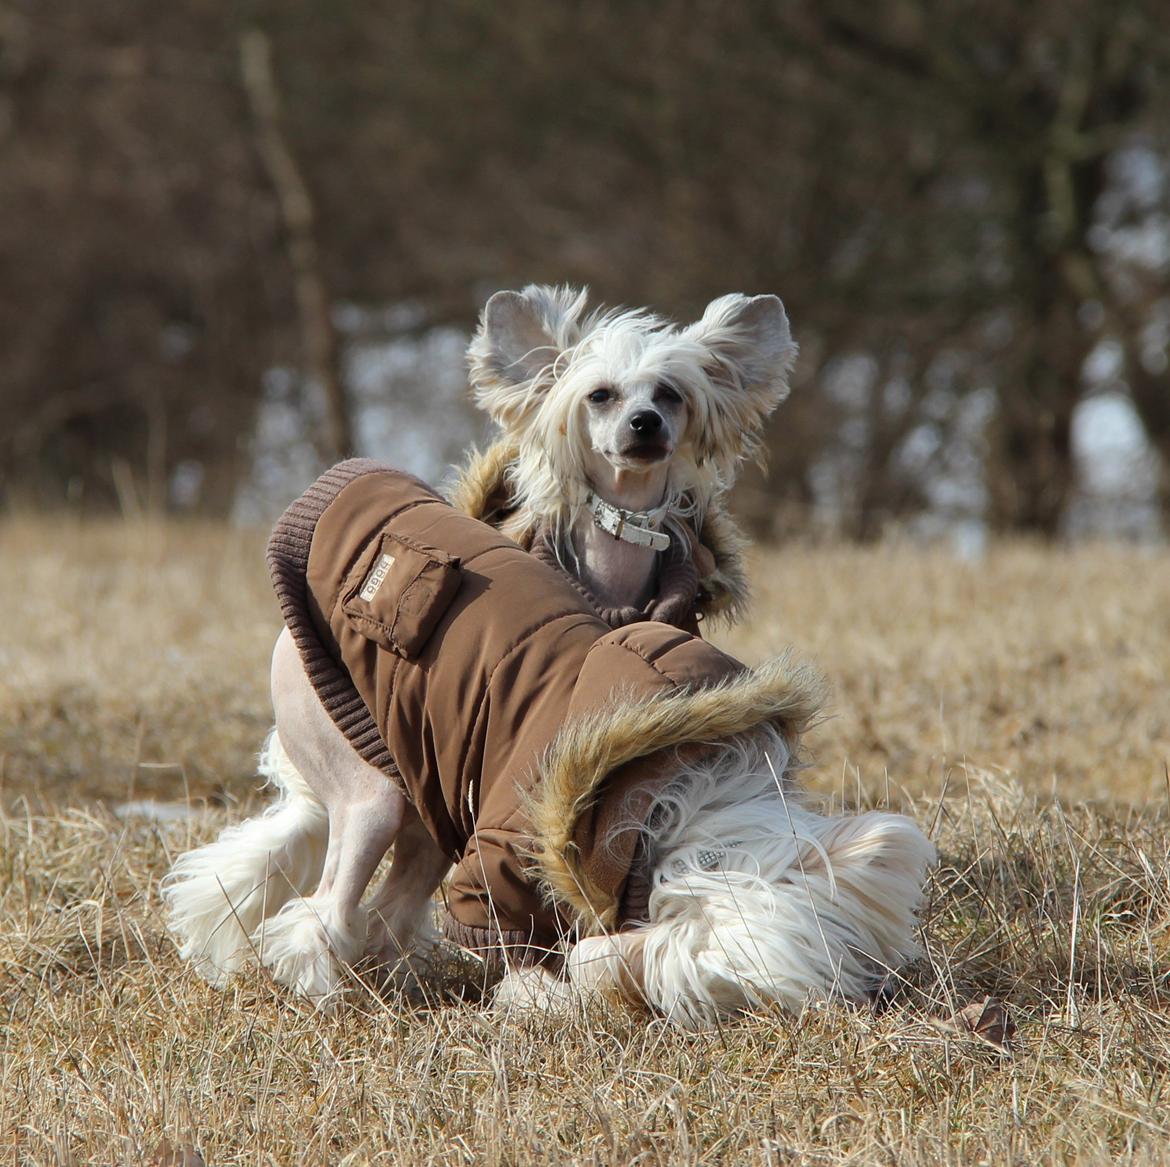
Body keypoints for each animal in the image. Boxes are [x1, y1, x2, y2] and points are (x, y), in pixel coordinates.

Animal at [162, 463, 931, 1030]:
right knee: (327, 907)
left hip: (429, 784)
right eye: (716, 980)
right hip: (367, 780)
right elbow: (545, 949)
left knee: (383, 909)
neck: (663, 798)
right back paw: (329, 989)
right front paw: (546, 995)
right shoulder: (501, 866)